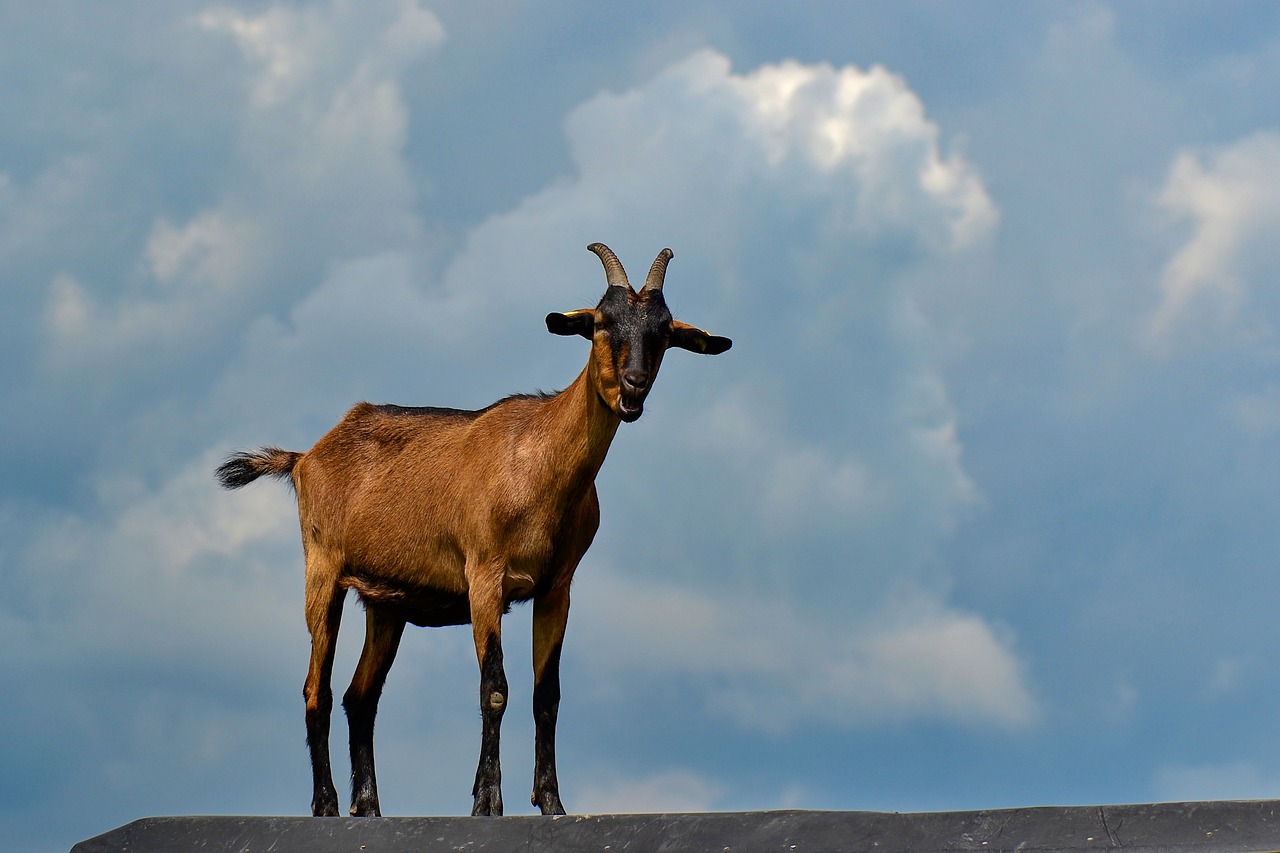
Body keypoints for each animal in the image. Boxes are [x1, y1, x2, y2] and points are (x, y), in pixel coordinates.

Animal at [211, 242, 732, 814]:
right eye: (599, 323)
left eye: (663, 332)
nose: (634, 387)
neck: (539, 463)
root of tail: (305, 457)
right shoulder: (485, 577)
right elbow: (495, 688)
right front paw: (488, 802)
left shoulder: (557, 588)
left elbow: (547, 695)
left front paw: (552, 803)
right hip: (322, 571)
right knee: (316, 689)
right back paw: (326, 804)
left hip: (386, 604)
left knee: (359, 696)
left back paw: (368, 806)